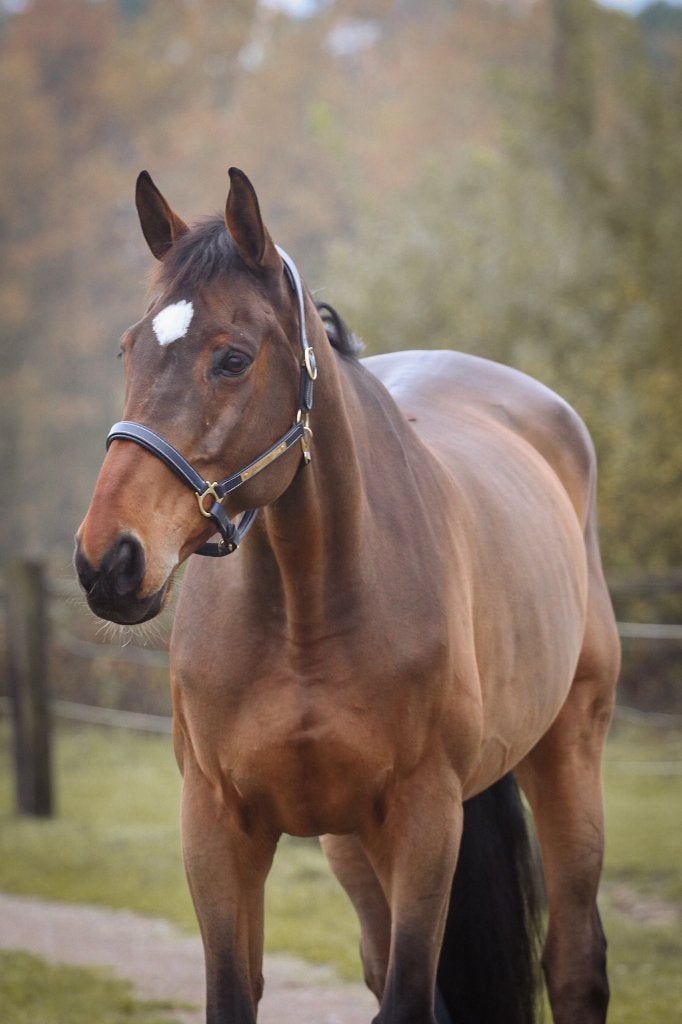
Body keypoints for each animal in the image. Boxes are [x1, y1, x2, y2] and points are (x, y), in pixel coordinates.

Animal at [75, 168, 620, 1024]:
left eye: (232, 359)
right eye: (130, 348)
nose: (111, 561)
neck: (309, 615)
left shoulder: (426, 821)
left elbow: (410, 997)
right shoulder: (217, 825)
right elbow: (238, 993)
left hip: (567, 751)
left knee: (573, 966)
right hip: (353, 847)